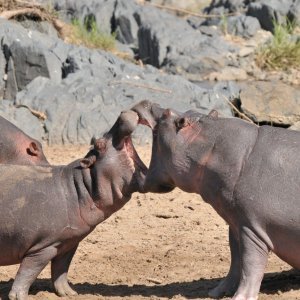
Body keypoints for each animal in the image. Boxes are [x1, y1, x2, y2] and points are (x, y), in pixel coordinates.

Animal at [0, 110, 146, 300]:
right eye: (99, 144)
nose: (123, 113)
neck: (81, 187)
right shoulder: (43, 247)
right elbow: (28, 272)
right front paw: (19, 297)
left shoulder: (68, 242)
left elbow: (61, 270)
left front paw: (69, 293)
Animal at [131, 100, 300, 300]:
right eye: (189, 110)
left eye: (167, 114)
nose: (148, 102)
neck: (211, 146)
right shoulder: (236, 223)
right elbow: (236, 261)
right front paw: (216, 292)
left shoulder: (252, 228)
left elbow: (250, 264)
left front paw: (241, 297)